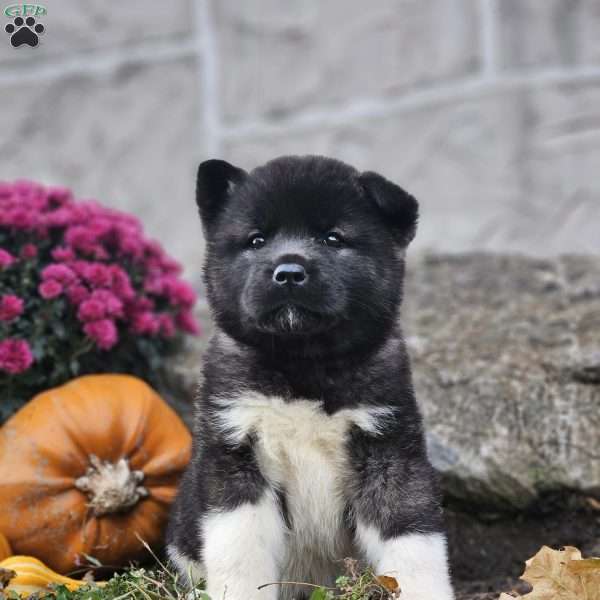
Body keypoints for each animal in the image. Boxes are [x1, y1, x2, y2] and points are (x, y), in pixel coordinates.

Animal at [166, 156, 452, 600]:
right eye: (256, 240)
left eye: (333, 238)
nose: (288, 272)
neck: (303, 364)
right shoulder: (236, 458)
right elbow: (240, 553)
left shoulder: (389, 453)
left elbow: (413, 544)